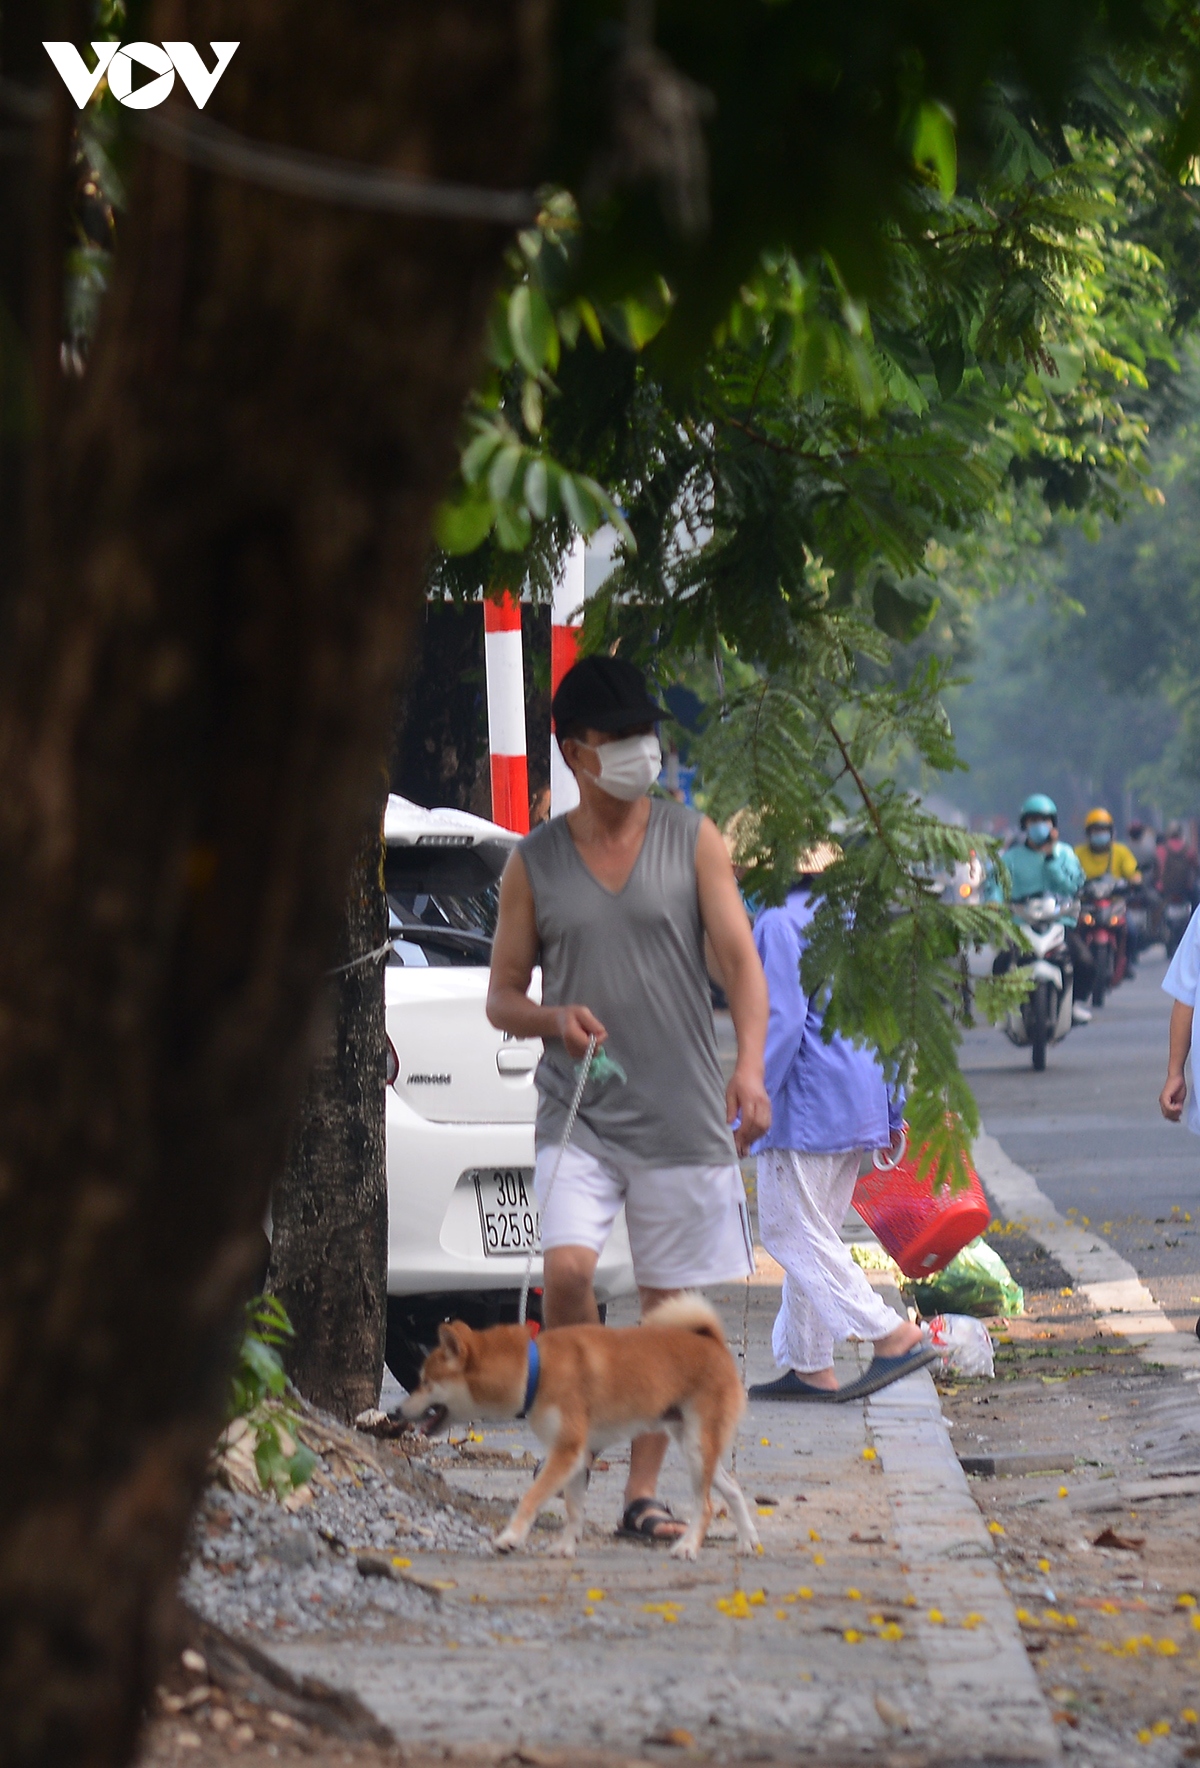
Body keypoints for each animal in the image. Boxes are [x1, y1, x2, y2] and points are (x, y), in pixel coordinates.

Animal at [402, 1301, 759, 1562]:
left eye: (425, 1382)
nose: (396, 1412)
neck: (535, 1369)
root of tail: (714, 1343)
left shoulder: (566, 1451)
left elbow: (531, 1498)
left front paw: (511, 1538)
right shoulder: (576, 1456)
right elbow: (574, 1509)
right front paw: (565, 1546)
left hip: (697, 1448)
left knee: (707, 1506)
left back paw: (687, 1547)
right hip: (693, 1445)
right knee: (733, 1489)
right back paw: (747, 1541)